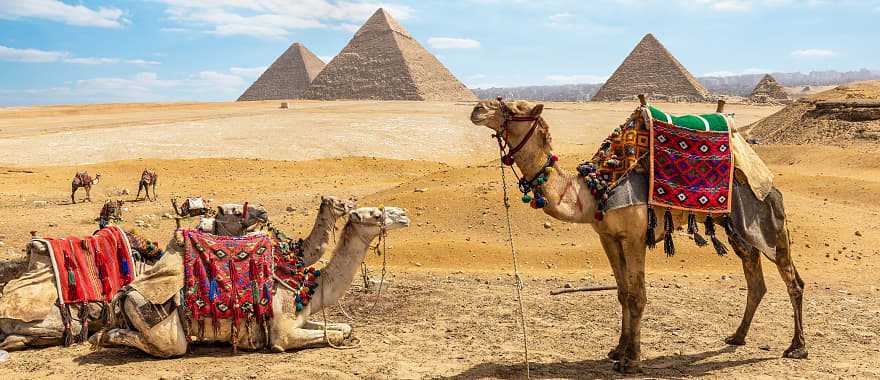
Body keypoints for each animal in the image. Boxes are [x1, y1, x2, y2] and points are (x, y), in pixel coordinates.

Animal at [470, 98, 808, 374]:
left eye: (514, 107)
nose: (477, 109)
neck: (593, 191)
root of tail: (766, 176)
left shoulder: (634, 237)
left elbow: (637, 295)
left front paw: (631, 360)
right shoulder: (608, 237)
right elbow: (622, 293)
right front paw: (617, 350)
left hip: (768, 219)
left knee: (793, 280)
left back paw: (797, 347)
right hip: (738, 229)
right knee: (755, 280)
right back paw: (737, 336)